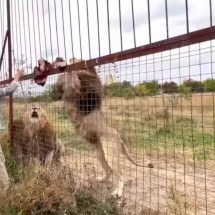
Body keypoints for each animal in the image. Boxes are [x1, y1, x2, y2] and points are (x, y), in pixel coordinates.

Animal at [55, 57, 153, 198]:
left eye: (73, 59)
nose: (61, 58)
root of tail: (119, 137)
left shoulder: (76, 88)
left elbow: (71, 75)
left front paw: (64, 65)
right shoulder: (64, 88)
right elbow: (62, 79)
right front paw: (59, 63)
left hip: (111, 154)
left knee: (120, 175)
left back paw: (117, 192)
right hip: (100, 154)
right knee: (109, 171)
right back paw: (101, 179)